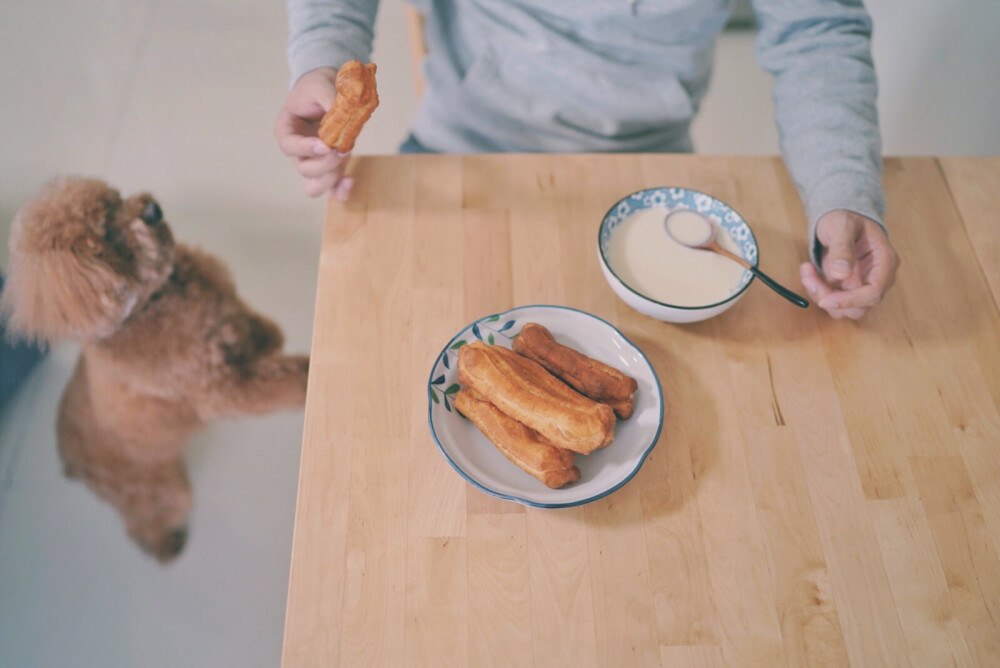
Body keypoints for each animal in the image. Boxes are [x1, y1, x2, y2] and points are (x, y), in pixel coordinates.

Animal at [0, 176, 308, 560]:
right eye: (105, 233)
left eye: (114, 200)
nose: (151, 209)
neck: (157, 299)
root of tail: (70, 464)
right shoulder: (222, 390)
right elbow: (281, 382)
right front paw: (308, 378)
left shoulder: (229, 313)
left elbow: (252, 326)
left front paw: (270, 337)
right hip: (160, 490)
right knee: (148, 520)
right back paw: (166, 547)